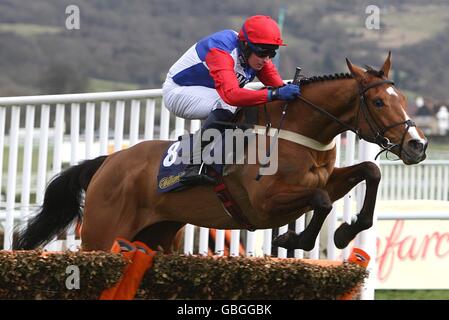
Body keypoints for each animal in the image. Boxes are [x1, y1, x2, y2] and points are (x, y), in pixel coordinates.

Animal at [14, 52, 428, 252]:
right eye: (378, 101)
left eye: (405, 99)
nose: (418, 144)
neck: (296, 131)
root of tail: (108, 162)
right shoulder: (266, 202)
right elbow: (322, 200)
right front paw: (294, 240)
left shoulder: (327, 178)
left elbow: (368, 173)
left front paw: (347, 232)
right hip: (100, 237)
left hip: (157, 238)